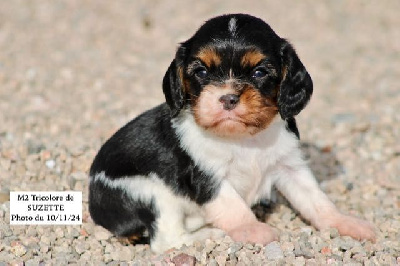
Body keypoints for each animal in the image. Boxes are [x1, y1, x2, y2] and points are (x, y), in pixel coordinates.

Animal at [89, 13, 376, 252]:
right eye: (201, 71)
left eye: (259, 72)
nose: (228, 98)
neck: (243, 139)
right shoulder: (209, 179)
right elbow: (234, 207)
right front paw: (253, 229)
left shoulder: (290, 168)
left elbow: (317, 201)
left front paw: (345, 223)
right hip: (153, 194)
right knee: (166, 241)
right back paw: (213, 234)